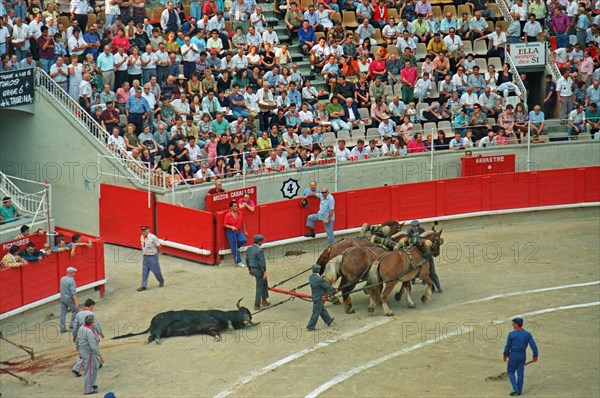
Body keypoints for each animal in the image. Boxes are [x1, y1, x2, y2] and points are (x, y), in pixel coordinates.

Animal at [111, 298, 258, 342]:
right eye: (243, 312)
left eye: (249, 315)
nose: (248, 319)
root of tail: (152, 320)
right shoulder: (221, 316)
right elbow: (228, 321)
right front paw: (231, 327)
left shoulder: (210, 329)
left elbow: (216, 333)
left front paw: (217, 338)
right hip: (162, 325)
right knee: (157, 333)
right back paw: (157, 340)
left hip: (160, 329)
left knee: (152, 335)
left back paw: (149, 340)